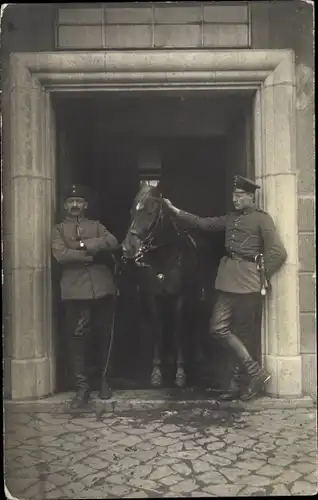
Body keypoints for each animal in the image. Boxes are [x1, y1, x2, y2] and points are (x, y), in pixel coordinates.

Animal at [118, 180, 200, 386]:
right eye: (131, 210)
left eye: (151, 211)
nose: (128, 247)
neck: (164, 257)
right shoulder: (152, 297)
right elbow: (157, 329)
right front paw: (156, 372)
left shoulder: (181, 297)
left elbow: (179, 330)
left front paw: (180, 372)